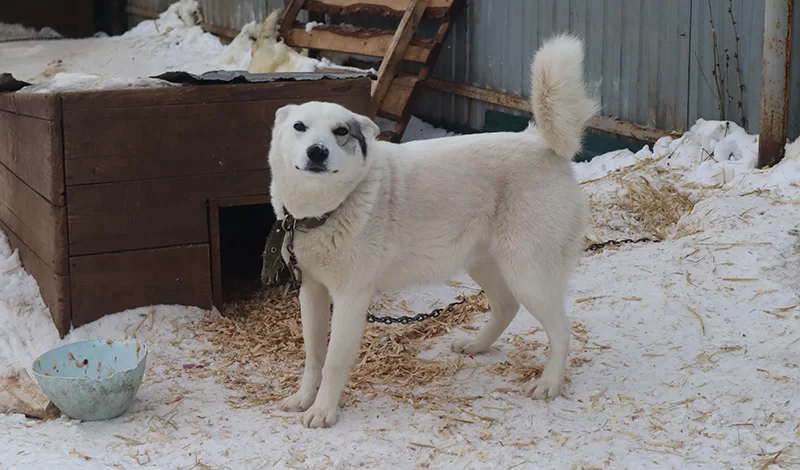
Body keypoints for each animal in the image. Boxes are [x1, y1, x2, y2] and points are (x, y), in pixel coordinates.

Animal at [266, 35, 596, 428]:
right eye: (300, 127)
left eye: (340, 132)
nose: (317, 152)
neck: (325, 210)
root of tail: (541, 143)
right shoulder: (312, 292)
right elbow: (313, 356)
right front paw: (304, 398)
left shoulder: (350, 299)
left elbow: (332, 362)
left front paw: (323, 410)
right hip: (485, 264)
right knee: (506, 306)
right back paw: (477, 346)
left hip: (527, 273)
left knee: (561, 330)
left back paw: (549, 383)